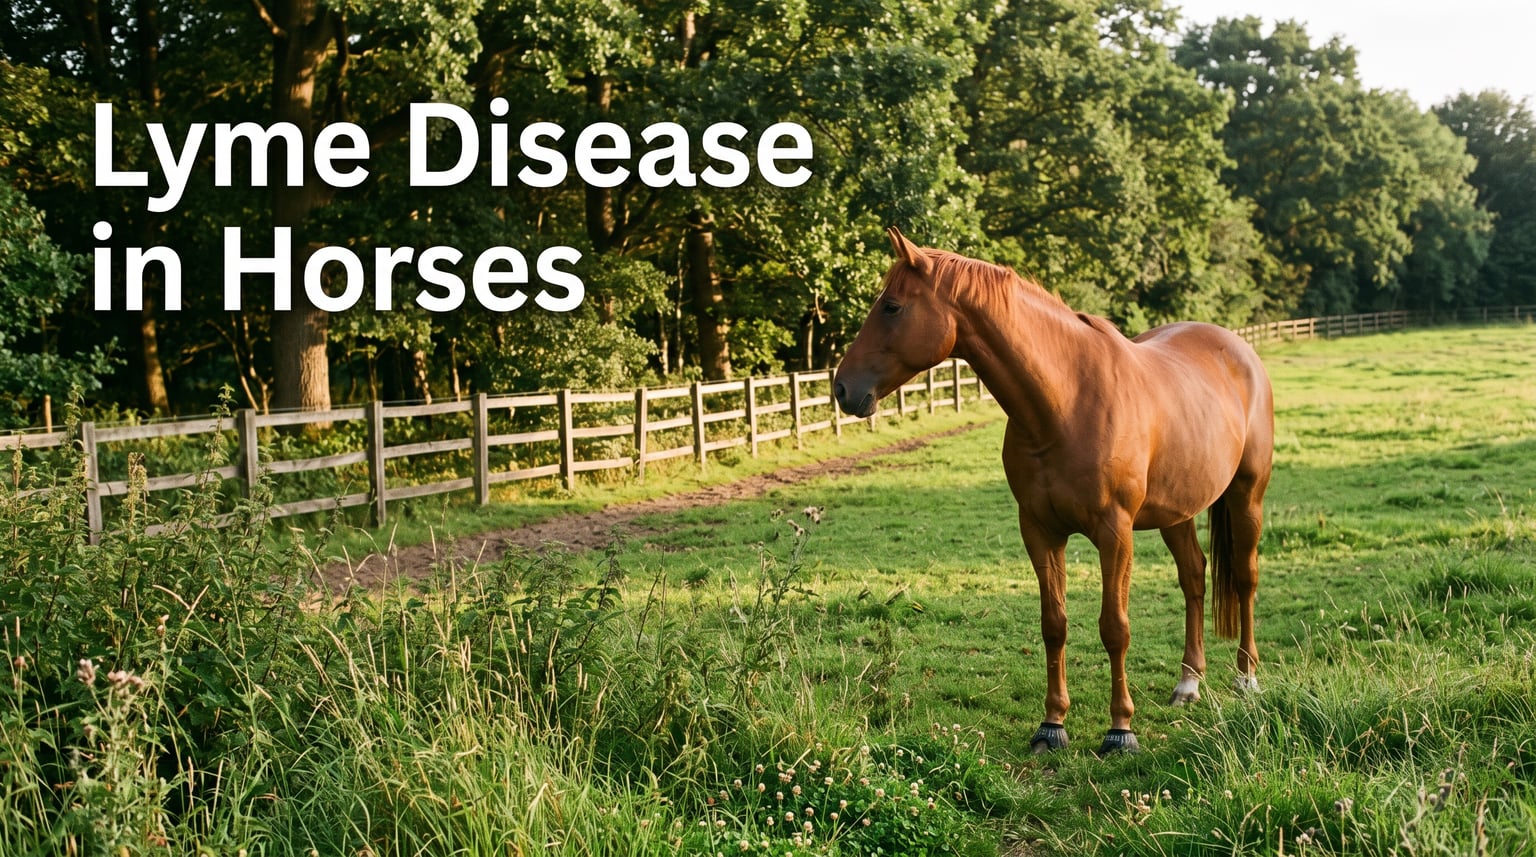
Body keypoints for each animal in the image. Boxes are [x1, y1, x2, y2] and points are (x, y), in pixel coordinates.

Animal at [833, 227, 1273, 756]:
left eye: (892, 307)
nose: (841, 388)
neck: (1066, 402)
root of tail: (1238, 348)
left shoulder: (1114, 532)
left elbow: (1114, 628)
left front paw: (1120, 730)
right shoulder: (1039, 530)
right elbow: (1054, 625)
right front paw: (1052, 725)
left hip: (1247, 497)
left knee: (1245, 579)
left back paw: (1246, 679)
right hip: (1177, 512)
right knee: (1194, 577)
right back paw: (1188, 683)